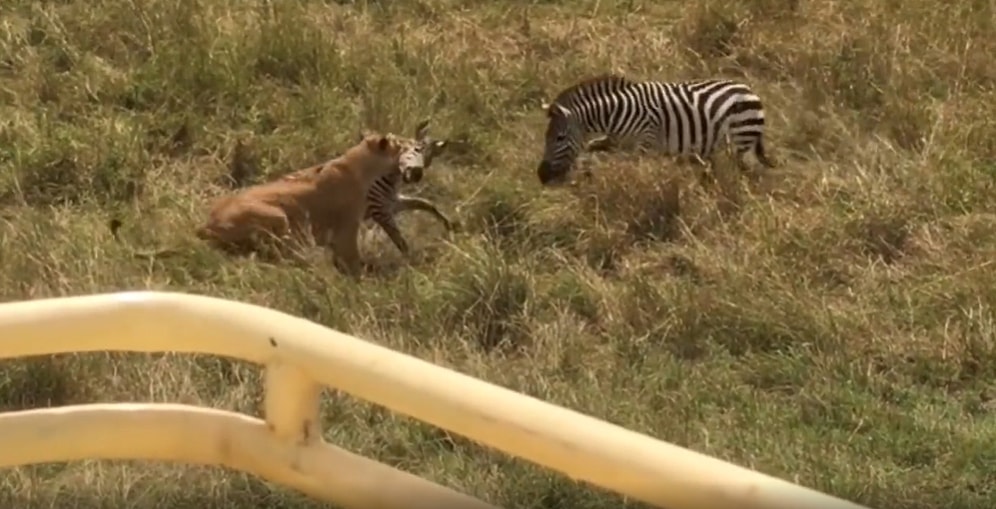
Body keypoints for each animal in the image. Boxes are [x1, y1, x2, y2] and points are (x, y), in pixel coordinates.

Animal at [280, 119, 455, 255]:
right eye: (415, 149)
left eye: (429, 160)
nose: (416, 175)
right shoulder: (380, 210)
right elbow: (399, 240)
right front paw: (411, 264)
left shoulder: (391, 203)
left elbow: (427, 204)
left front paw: (450, 227)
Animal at [535, 74, 775, 185]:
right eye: (546, 137)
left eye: (559, 138)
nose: (542, 175)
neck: (617, 113)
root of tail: (750, 91)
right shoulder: (615, 142)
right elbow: (591, 148)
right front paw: (584, 174)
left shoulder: (644, 144)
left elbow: (629, 167)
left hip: (739, 139)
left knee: (740, 170)